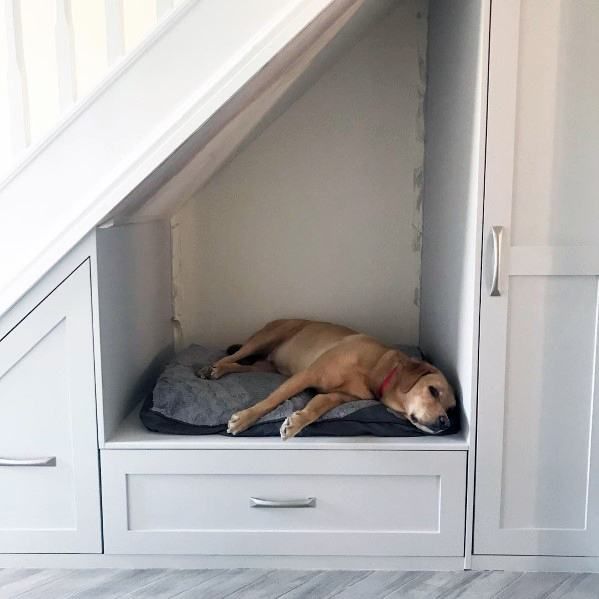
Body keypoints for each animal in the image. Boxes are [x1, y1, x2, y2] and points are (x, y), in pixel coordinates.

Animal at [197, 318, 454, 440]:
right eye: (433, 390)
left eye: (451, 408)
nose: (446, 423)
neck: (376, 370)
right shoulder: (306, 375)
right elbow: (271, 401)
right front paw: (244, 419)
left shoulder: (336, 396)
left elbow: (316, 406)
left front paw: (296, 422)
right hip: (265, 338)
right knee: (233, 356)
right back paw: (210, 369)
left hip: (269, 367)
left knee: (241, 365)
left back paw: (220, 370)